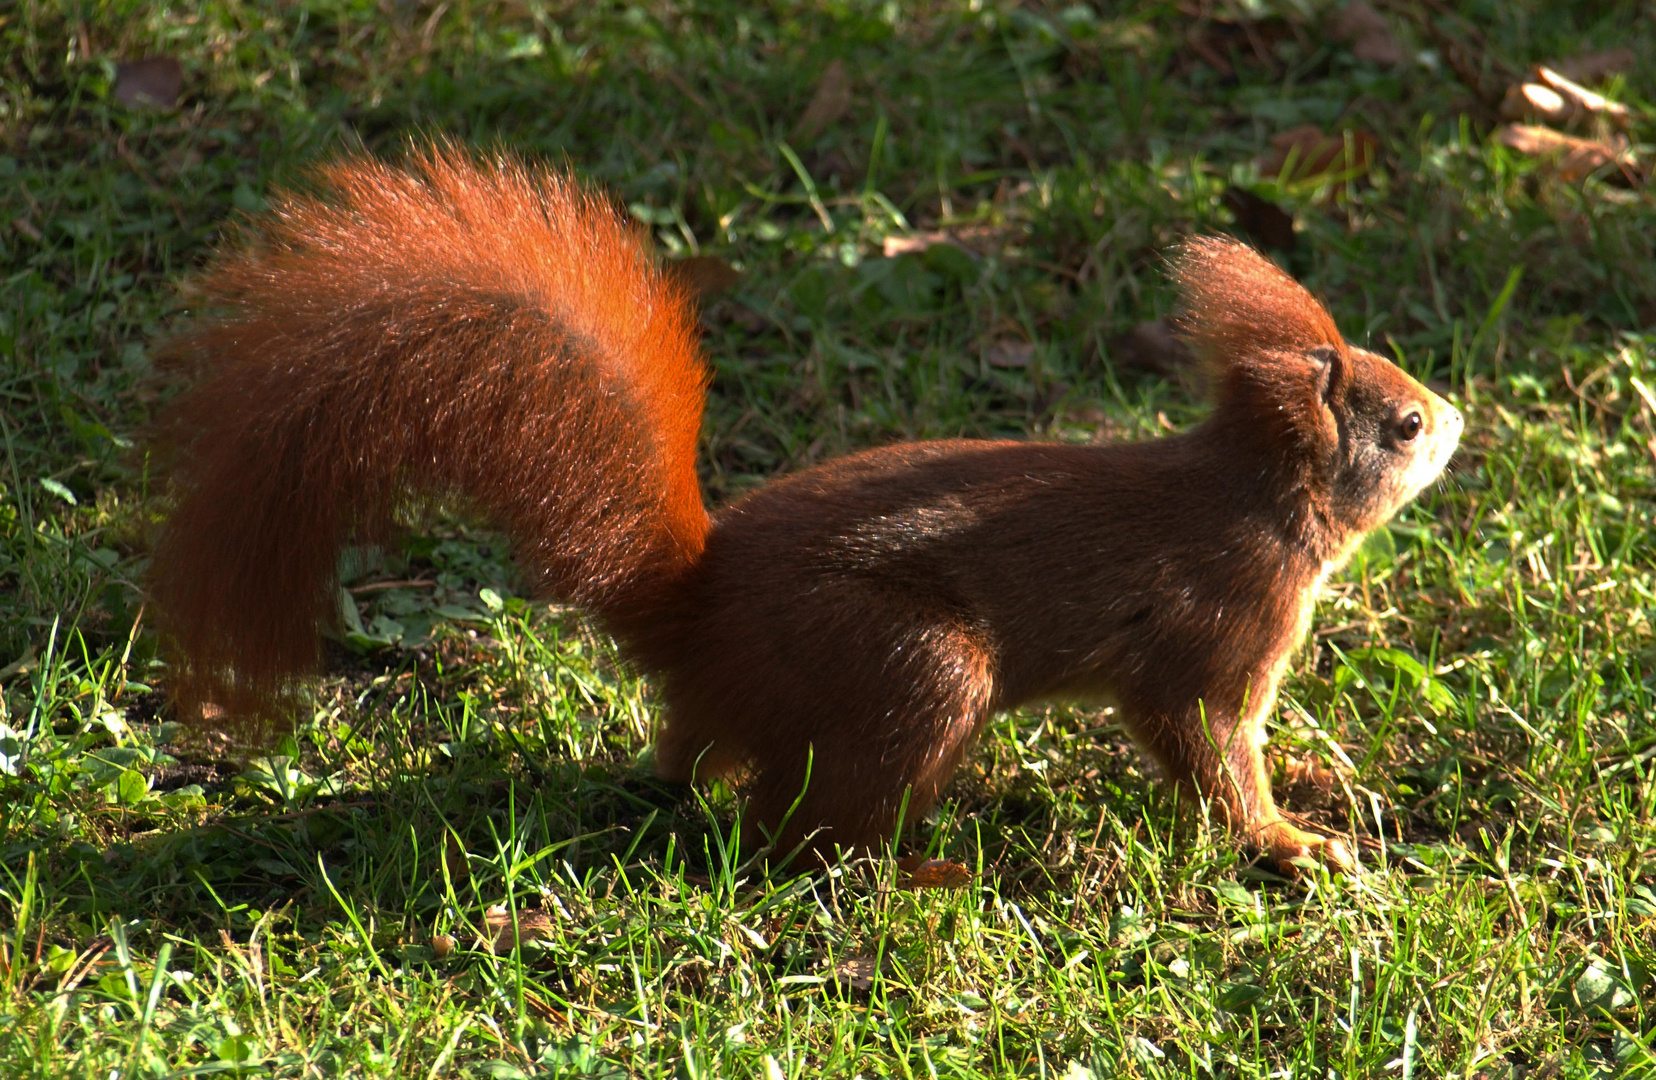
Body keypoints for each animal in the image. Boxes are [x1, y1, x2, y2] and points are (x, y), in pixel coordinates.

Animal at [145, 145, 1463, 867]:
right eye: (1399, 428)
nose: (1455, 419)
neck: (1253, 500)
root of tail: (698, 619)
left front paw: (1319, 782)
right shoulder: (1216, 629)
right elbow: (1205, 746)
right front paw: (1287, 845)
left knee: (694, 761)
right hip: (914, 670)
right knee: (796, 841)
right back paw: (917, 874)